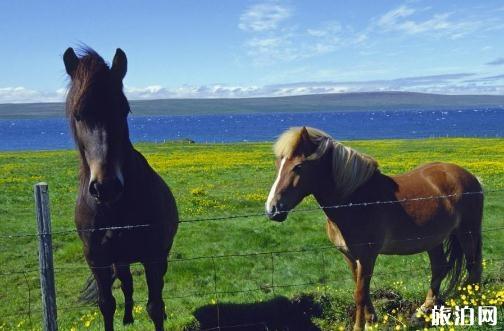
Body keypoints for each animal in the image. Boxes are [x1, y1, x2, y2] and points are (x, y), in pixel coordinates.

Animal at [63, 47, 178, 331]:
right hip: (120, 260)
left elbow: (155, 306)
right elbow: (106, 305)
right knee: (126, 284)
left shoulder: (153, 257)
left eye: (124, 110)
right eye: (78, 114)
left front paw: (159, 314)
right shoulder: (98, 260)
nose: (106, 187)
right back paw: (127, 317)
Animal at [266, 127, 482, 331]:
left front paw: (359, 326)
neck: (355, 201)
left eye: (298, 166)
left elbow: (360, 294)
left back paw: (472, 308)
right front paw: (371, 320)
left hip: (467, 232)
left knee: (473, 267)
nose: (272, 209)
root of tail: (470, 176)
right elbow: (361, 288)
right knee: (439, 267)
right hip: (433, 239)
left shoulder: (368, 256)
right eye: (278, 165)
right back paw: (423, 311)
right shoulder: (350, 256)